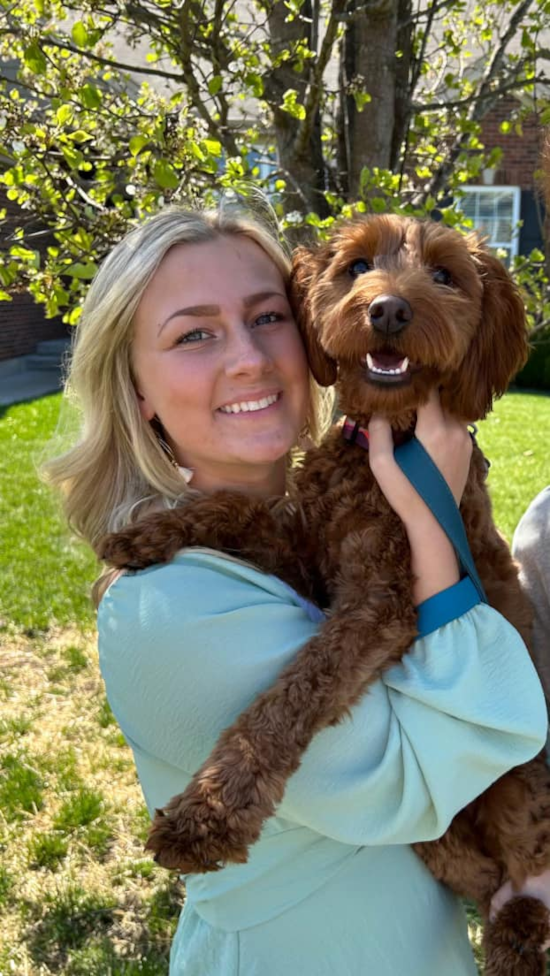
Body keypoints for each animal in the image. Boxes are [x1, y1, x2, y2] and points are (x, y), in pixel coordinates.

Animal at [101, 217, 550, 972]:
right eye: (359, 265)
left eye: (445, 276)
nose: (389, 310)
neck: (387, 443)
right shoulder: (307, 553)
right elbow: (239, 509)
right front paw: (149, 531)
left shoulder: (380, 602)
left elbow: (289, 697)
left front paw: (206, 818)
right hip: (441, 835)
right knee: (473, 870)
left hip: (525, 791)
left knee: (524, 878)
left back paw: (516, 941)